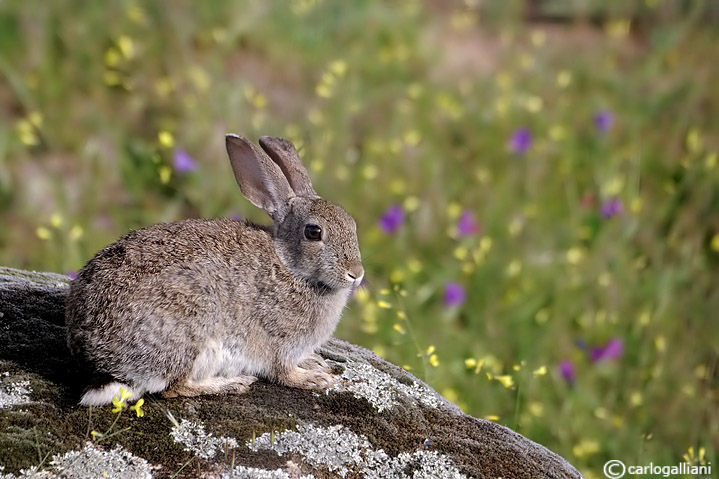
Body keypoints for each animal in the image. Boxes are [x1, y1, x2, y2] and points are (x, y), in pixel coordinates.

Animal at [64, 134, 362, 404]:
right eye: (314, 232)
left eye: (352, 224)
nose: (356, 274)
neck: (290, 266)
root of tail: (100, 361)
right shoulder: (278, 342)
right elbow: (283, 372)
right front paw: (315, 379)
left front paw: (316, 363)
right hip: (189, 332)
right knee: (175, 387)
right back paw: (232, 383)